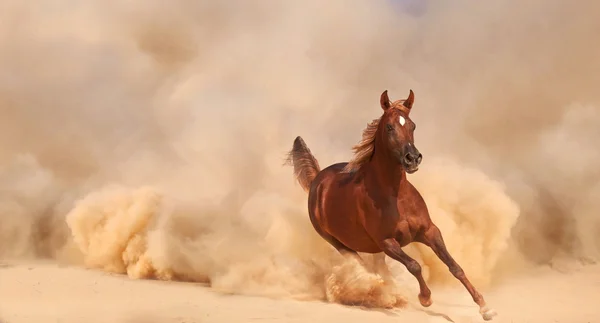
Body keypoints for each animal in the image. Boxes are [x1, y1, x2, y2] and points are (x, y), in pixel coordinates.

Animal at [286, 89, 496, 322]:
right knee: (365, 269)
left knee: (379, 269)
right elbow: (414, 265)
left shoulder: (430, 231)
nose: (412, 158)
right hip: (341, 244)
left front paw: (485, 307)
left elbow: (454, 266)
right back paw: (380, 294)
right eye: (389, 127)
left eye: (412, 125)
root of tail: (317, 179)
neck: (396, 197)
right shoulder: (387, 242)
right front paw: (425, 298)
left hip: (373, 248)